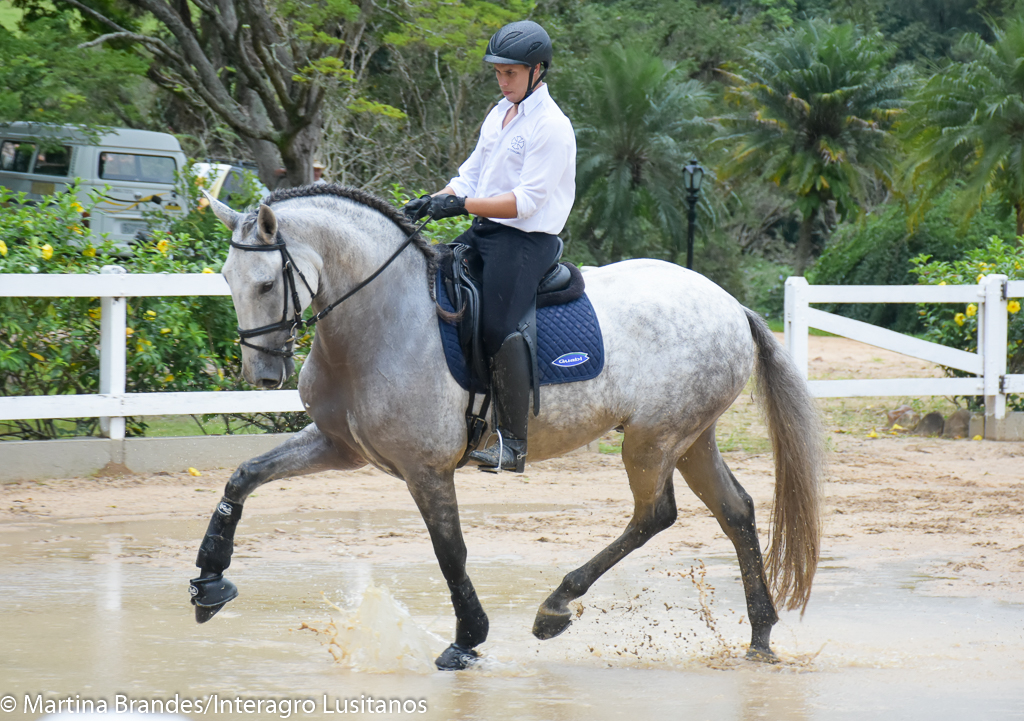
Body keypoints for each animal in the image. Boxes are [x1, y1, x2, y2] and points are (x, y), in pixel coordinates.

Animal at [188, 184, 819, 671]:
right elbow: (243, 476)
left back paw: (555, 608)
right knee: (735, 511)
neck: (381, 317)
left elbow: (450, 552)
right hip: (690, 439)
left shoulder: (426, 469)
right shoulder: (339, 446)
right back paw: (760, 635)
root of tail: (730, 305)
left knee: (655, 515)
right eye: (226, 277)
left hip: (652, 441)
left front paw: (467, 641)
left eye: (266, 284)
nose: (262, 373)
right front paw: (209, 580)